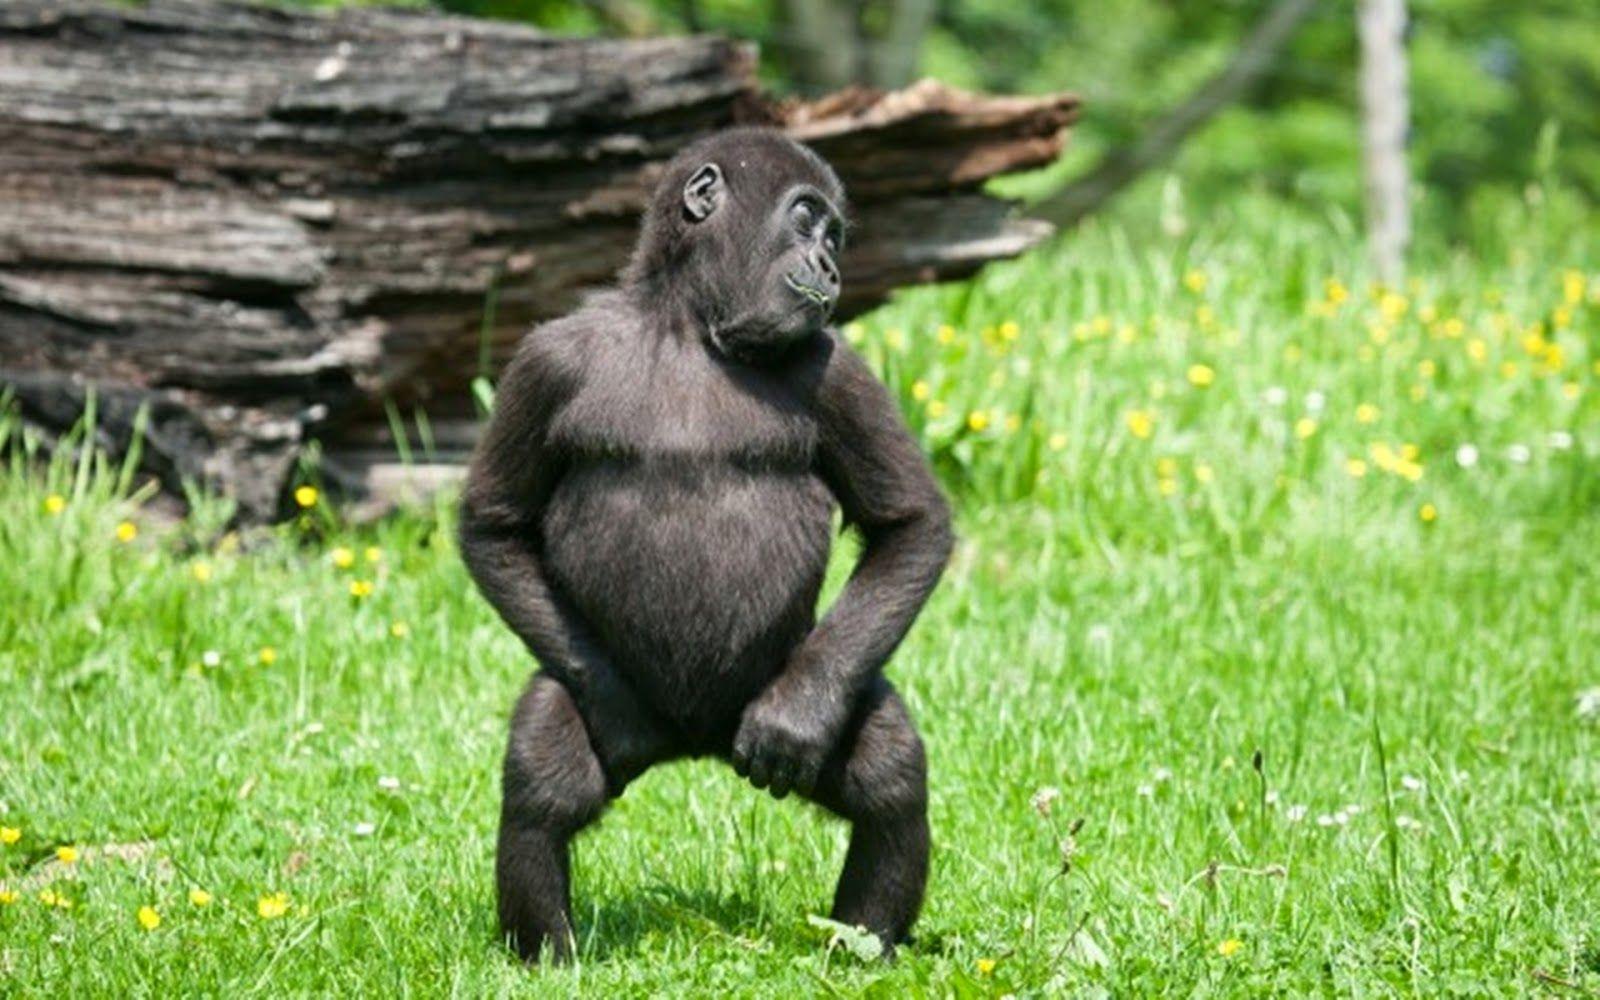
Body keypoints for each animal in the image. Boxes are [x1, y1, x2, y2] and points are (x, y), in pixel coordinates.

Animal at [458, 127, 954, 963]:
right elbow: (494, 523)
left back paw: (861, 949)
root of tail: (694, 742)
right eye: (807, 220)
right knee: (542, 770)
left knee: (886, 767)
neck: (691, 326)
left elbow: (910, 526)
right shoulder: (545, 362)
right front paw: (615, 712)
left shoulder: (836, 366)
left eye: (835, 238)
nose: (831, 268)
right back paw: (548, 956)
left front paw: (796, 720)